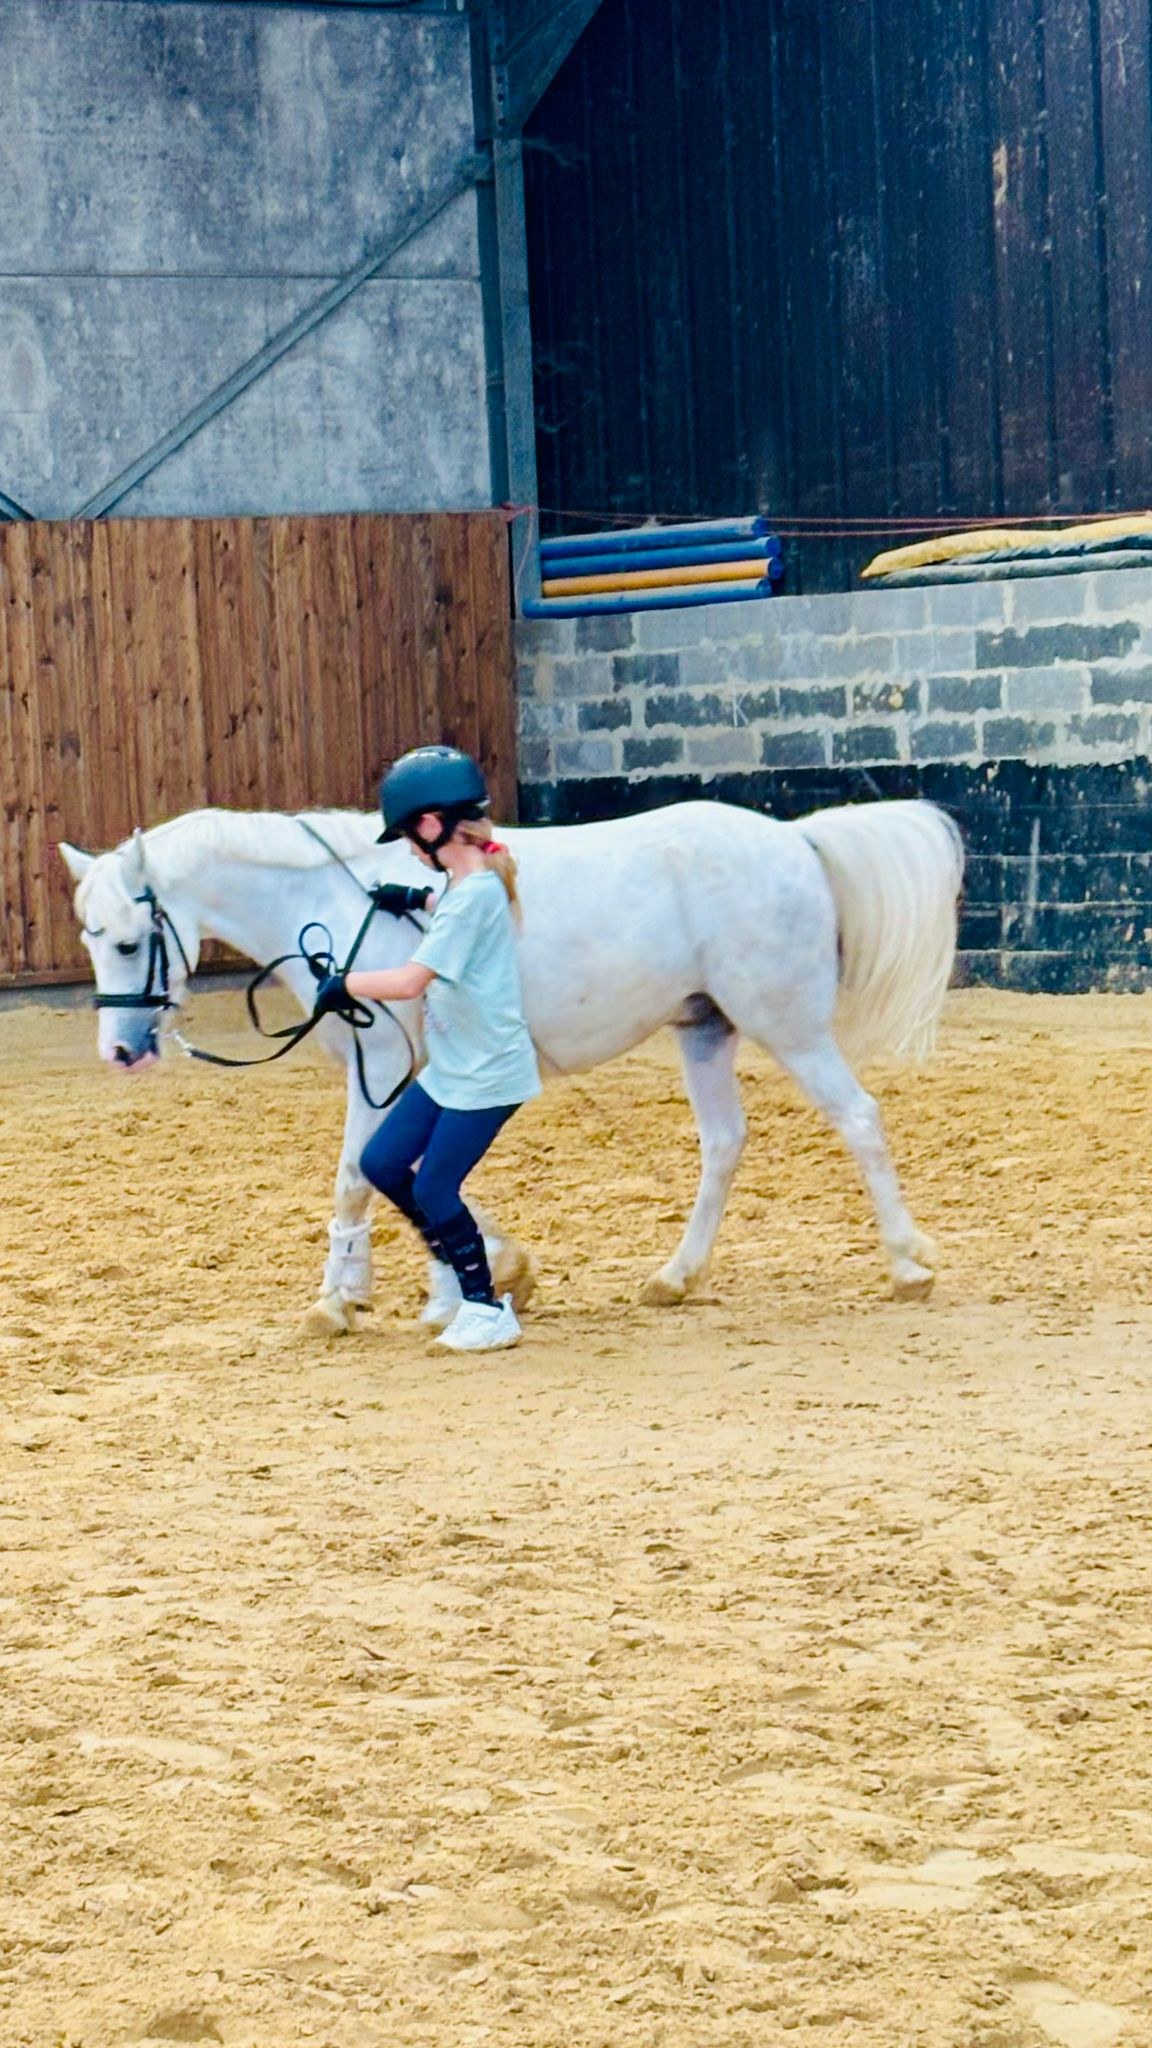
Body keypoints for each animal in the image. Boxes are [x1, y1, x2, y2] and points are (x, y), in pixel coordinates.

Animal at [60, 796, 963, 1333]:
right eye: (88, 938)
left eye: (132, 941)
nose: (120, 1051)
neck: (343, 904)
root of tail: (793, 836)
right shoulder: (400, 1072)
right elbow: (401, 1174)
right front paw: (479, 1275)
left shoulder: (380, 1060)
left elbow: (361, 1174)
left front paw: (339, 1301)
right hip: (705, 1028)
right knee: (724, 1143)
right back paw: (674, 1277)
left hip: (787, 1024)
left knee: (858, 1119)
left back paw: (908, 1266)